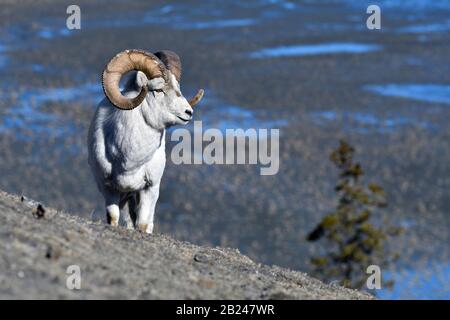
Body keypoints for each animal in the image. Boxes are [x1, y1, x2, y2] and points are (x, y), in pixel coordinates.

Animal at [88, 49, 204, 232]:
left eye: (178, 88)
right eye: (158, 90)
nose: (188, 112)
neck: (128, 161)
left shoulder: (150, 189)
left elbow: (142, 224)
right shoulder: (108, 189)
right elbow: (113, 218)